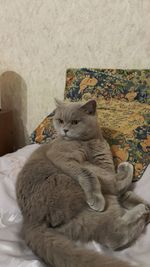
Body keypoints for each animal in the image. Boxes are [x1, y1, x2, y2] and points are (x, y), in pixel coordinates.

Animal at [16, 100, 150, 267]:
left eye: (75, 122)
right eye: (60, 120)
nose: (65, 130)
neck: (90, 142)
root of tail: (29, 219)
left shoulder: (104, 164)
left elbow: (122, 191)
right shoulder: (62, 157)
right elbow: (90, 175)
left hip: (79, 220)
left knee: (110, 230)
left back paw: (144, 209)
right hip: (66, 180)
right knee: (113, 232)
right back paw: (139, 205)